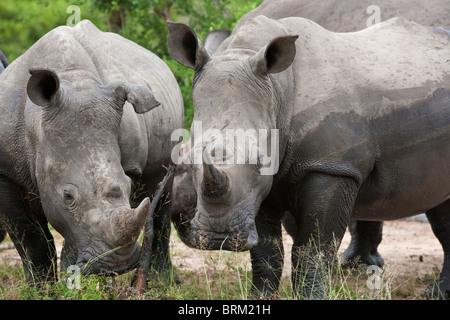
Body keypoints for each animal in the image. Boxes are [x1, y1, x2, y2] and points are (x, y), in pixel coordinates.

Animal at [0, 20, 184, 284]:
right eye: (67, 196)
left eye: (129, 185)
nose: (118, 264)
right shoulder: (6, 173)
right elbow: (31, 242)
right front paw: (40, 288)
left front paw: (70, 273)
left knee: (163, 194)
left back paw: (164, 282)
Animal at [168, 15, 450, 300]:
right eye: (188, 160)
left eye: (260, 162)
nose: (219, 237)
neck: (276, 89)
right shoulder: (260, 189)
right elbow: (267, 252)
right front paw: (260, 297)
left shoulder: (331, 167)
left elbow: (314, 247)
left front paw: (311, 296)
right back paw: (437, 293)